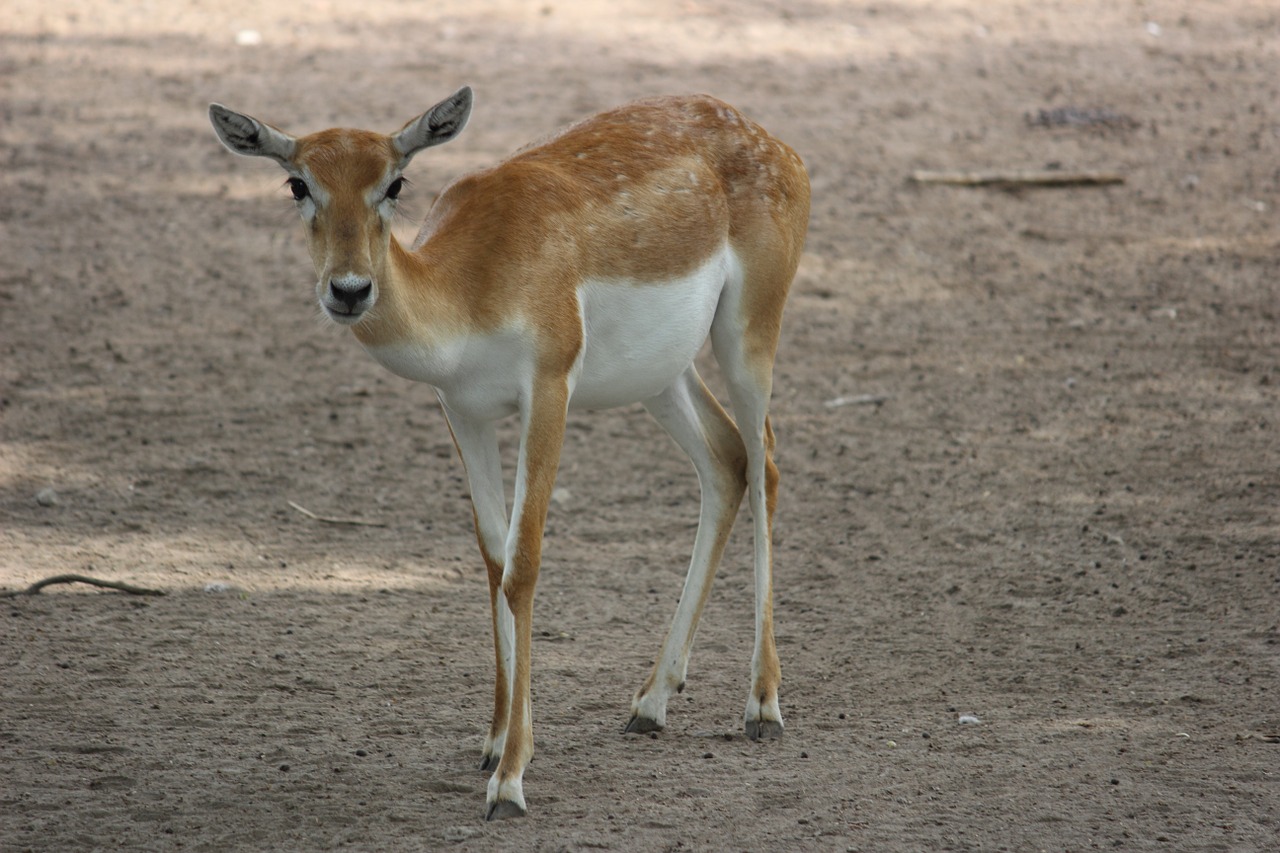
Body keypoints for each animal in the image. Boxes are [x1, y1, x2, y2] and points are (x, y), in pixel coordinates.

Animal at [209, 86, 808, 819]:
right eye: (298, 183)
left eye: (394, 182)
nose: (349, 290)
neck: (470, 285)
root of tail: (773, 140)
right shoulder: (462, 411)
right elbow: (493, 560)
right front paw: (493, 745)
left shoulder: (547, 388)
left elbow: (524, 565)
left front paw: (511, 781)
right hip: (661, 375)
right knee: (725, 460)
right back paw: (649, 703)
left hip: (749, 331)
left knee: (766, 459)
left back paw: (762, 706)